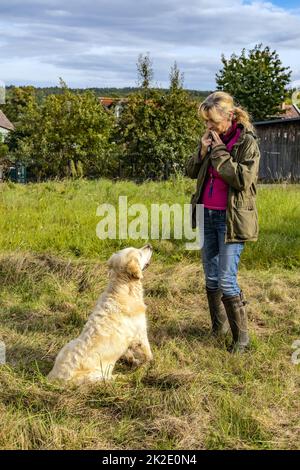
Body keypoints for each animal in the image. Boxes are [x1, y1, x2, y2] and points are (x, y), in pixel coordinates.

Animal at [48, 244, 155, 384]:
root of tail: (55, 377)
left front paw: (132, 359)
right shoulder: (141, 332)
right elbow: (148, 352)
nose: (149, 245)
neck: (121, 289)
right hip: (97, 376)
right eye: (140, 254)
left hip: (68, 344)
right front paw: (149, 363)